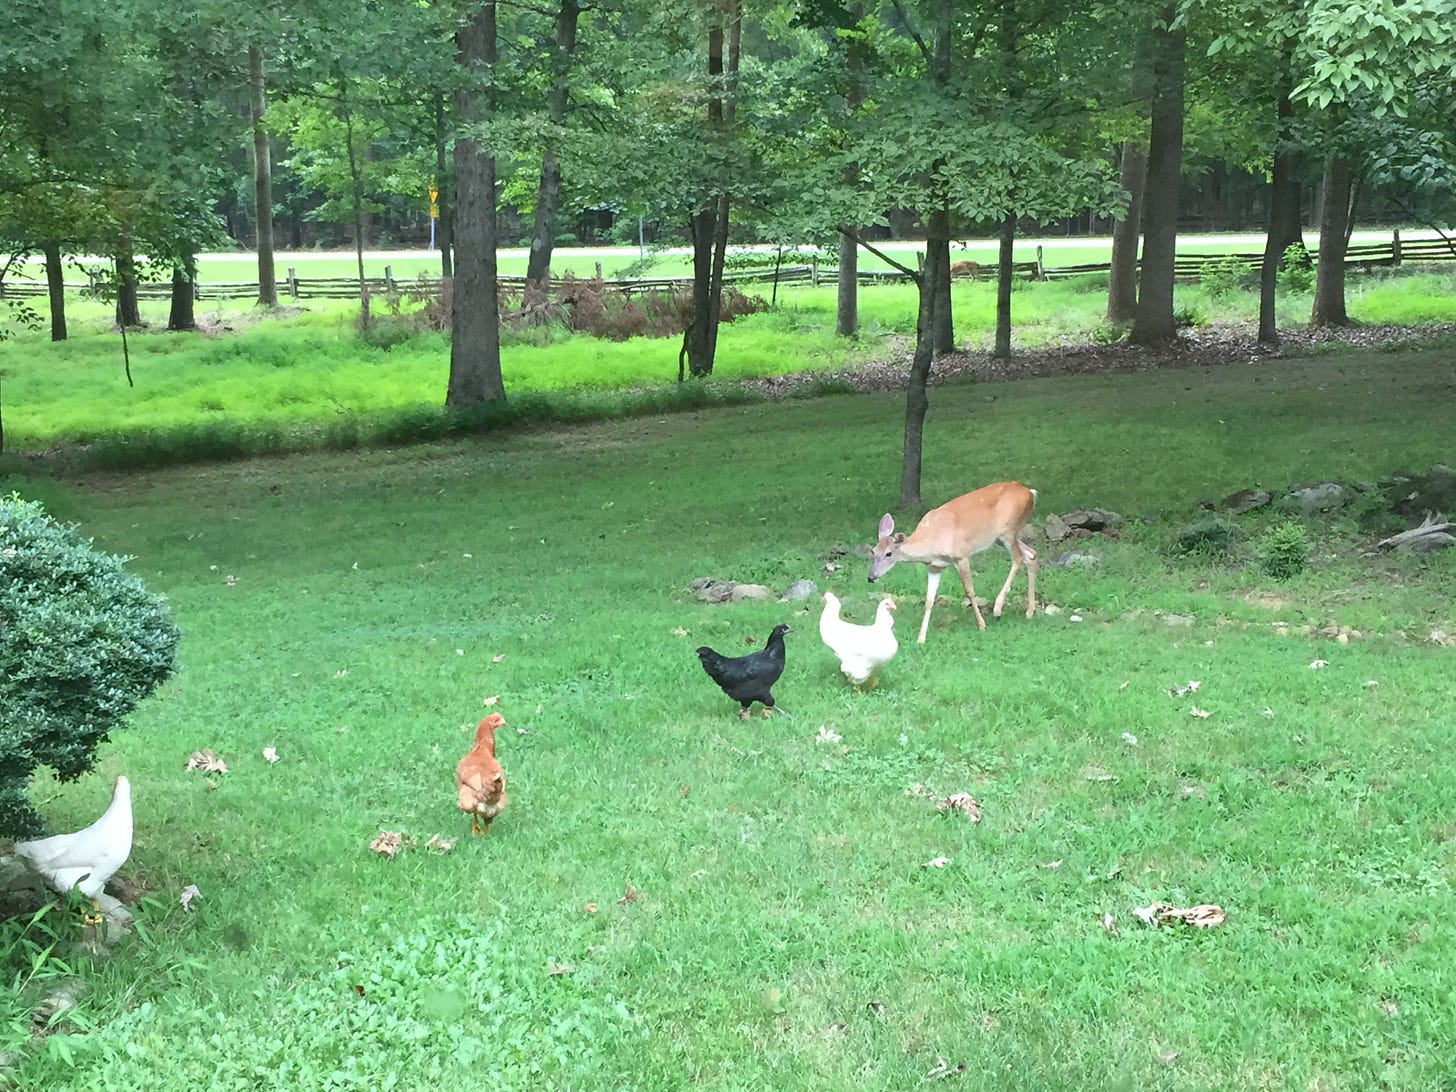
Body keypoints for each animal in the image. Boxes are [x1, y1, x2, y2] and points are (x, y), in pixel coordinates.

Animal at [861, 483, 1036, 646]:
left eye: (888, 553)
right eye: (873, 551)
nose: (871, 577)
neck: (931, 544)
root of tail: (1030, 493)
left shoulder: (961, 556)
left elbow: (969, 591)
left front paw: (981, 625)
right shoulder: (934, 568)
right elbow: (929, 600)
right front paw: (921, 638)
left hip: (1008, 529)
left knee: (1019, 558)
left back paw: (998, 609)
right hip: (1001, 537)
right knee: (1032, 555)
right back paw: (1029, 611)